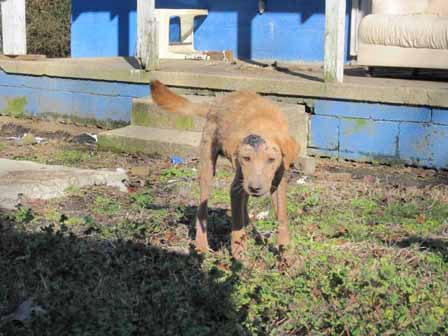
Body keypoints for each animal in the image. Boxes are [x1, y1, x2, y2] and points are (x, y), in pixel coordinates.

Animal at [149, 80, 300, 258]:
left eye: (271, 160)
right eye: (246, 158)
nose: (255, 188)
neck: (263, 123)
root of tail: (215, 104)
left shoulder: (277, 183)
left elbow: (282, 217)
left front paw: (287, 255)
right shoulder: (236, 187)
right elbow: (237, 224)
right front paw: (239, 255)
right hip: (208, 168)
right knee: (202, 211)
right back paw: (201, 246)